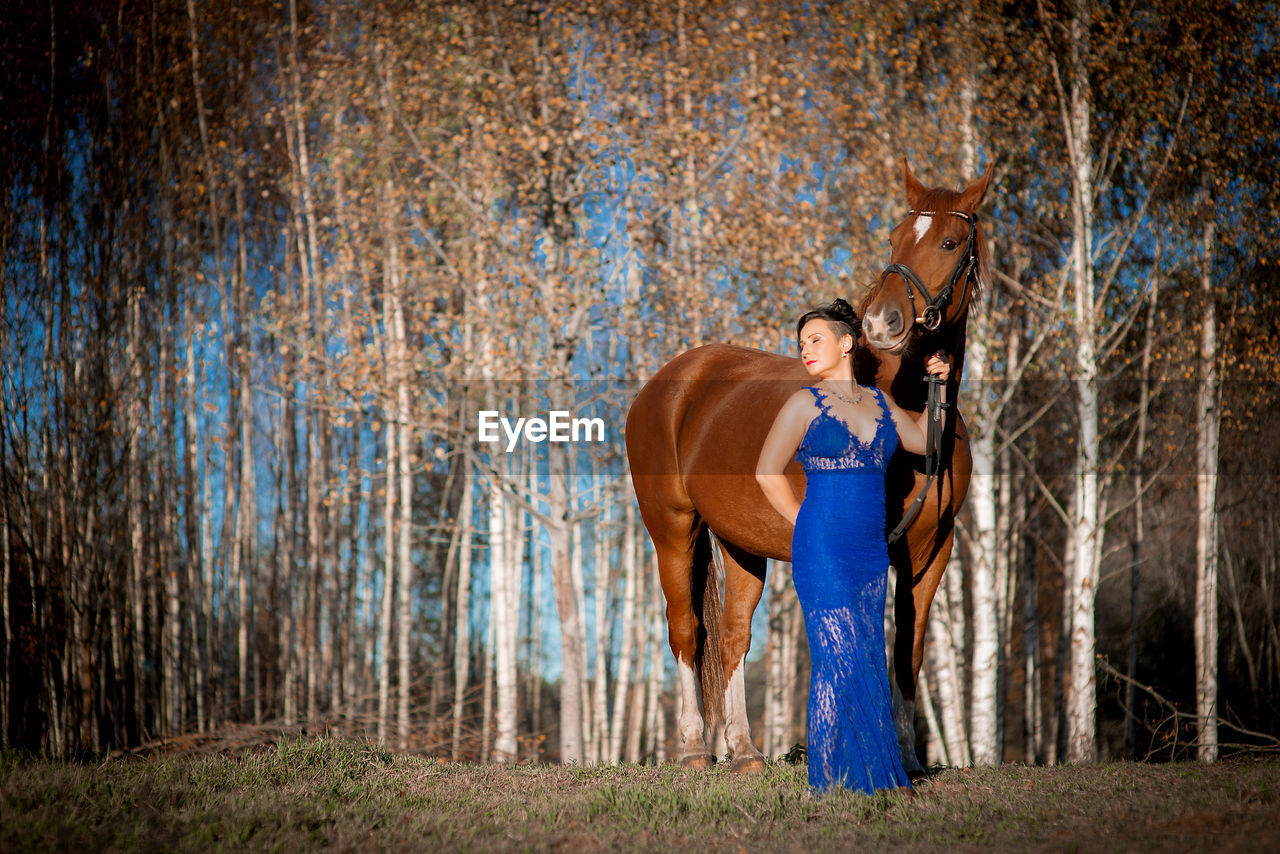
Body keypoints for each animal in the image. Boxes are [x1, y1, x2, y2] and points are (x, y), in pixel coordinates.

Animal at [624, 158, 993, 773]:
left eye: (949, 241)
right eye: (894, 236)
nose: (883, 321)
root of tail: (670, 380)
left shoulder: (930, 551)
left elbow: (906, 647)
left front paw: (907, 757)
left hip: (739, 541)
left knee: (733, 634)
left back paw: (745, 750)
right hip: (672, 529)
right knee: (687, 631)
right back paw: (696, 748)